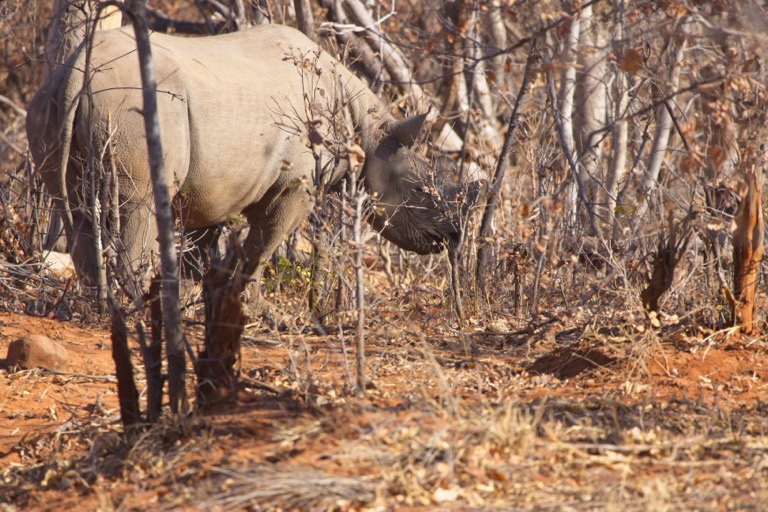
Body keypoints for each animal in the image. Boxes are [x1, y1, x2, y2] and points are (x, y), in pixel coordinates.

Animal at [27, 23, 478, 294]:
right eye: (419, 190)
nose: (453, 235)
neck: (369, 133)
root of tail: (76, 69)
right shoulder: (295, 184)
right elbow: (265, 243)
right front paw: (252, 309)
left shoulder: (212, 185)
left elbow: (201, 246)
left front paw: (192, 303)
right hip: (129, 104)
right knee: (139, 204)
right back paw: (132, 307)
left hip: (52, 98)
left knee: (73, 203)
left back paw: (102, 307)